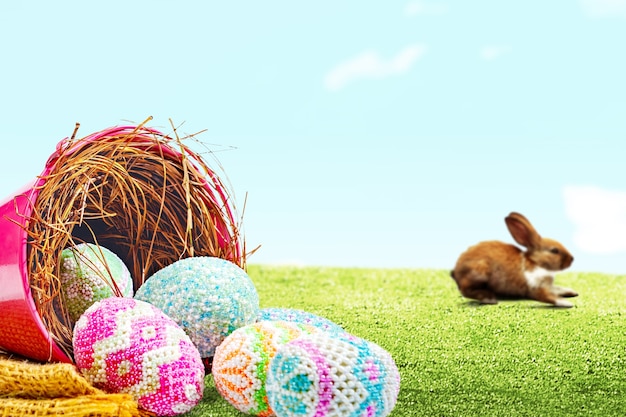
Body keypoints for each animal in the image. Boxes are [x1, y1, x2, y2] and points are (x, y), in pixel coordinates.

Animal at [448, 211, 576, 306]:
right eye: (554, 251)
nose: (572, 259)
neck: (535, 262)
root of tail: (456, 271)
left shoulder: (548, 286)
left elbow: (557, 289)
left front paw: (571, 292)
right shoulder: (534, 287)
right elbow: (548, 297)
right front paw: (566, 303)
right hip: (480, 271)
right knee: (466, 290)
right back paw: (489, 298)